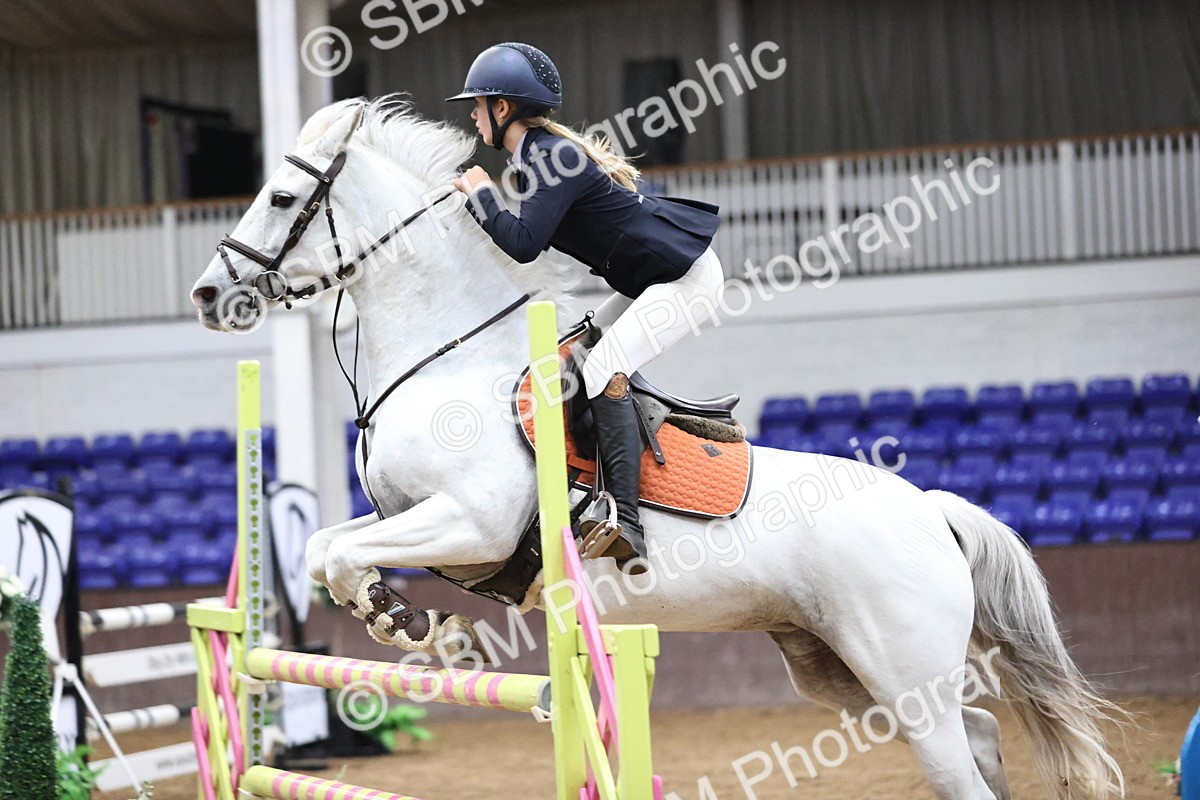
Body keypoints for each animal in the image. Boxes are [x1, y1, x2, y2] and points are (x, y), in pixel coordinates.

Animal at [190, 95, 1125, 800]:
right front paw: (417, 623)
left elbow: (338, 553)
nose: (207, 294)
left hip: (902, 670)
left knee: (958, 759)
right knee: (979, 734)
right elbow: (327, 545)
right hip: (839, 669)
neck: (446, 353)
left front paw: (408, 621)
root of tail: (932, 512)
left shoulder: (471, 523)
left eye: (281, 200)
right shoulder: (421, 520)